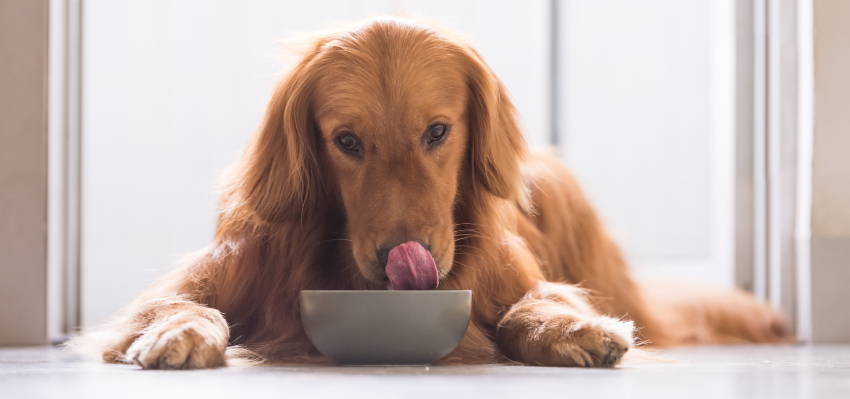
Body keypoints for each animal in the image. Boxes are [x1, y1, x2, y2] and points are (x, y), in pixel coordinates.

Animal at [74, 18, 788, 368]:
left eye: (438, 131)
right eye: (346, 141)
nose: (403, 257)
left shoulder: (514, 277)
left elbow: (532, 303)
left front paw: (569, 327)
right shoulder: (215, 273)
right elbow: (178, 305)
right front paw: (178, 333)